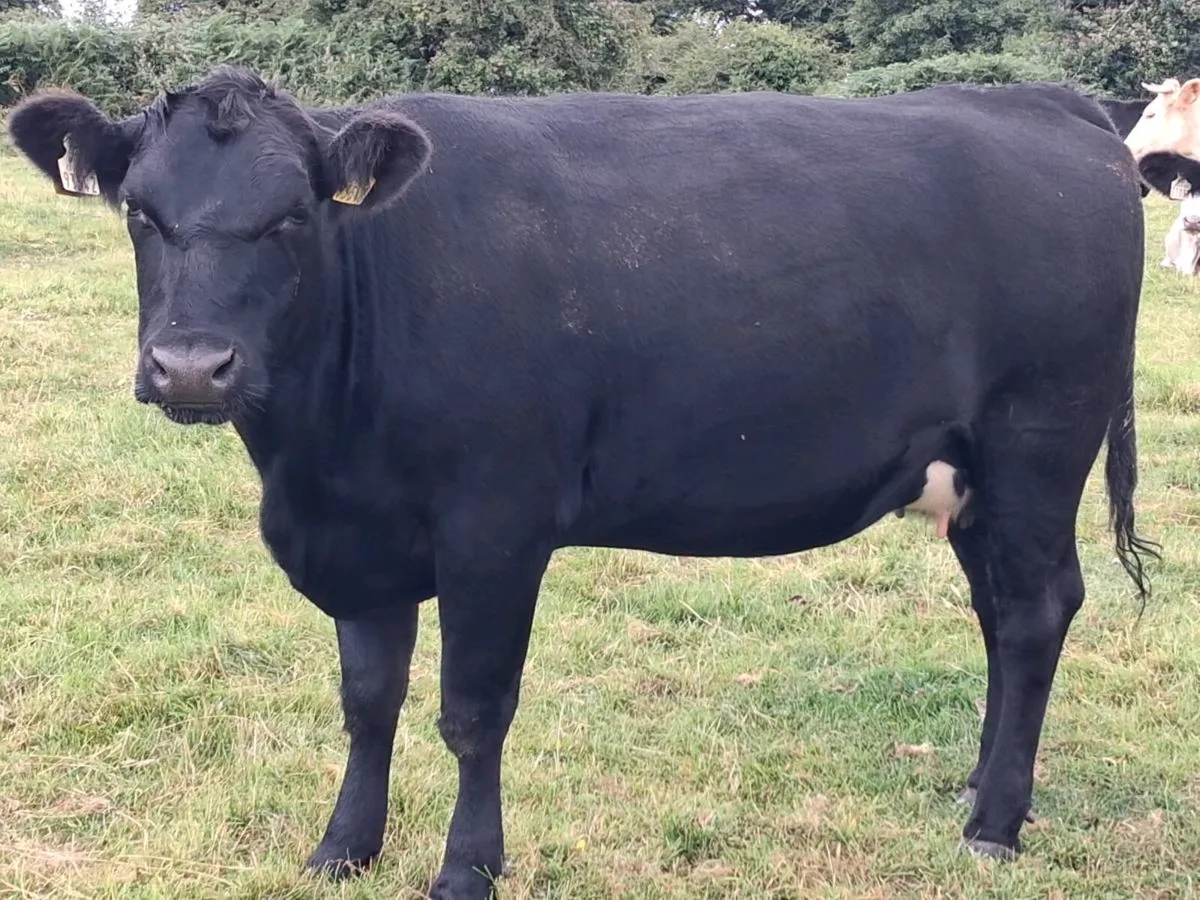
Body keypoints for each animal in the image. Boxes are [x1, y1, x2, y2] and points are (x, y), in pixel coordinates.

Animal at [6, 68, 1159, 899]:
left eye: (293, 216)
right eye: (139, 213)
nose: (191, 368)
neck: (315, 459)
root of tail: (1046, 103)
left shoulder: (493, 528)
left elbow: (473, 711)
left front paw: (465, 868)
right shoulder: (363, 539)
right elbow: (368, 702)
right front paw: (342, 850)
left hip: (1037, 444)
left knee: (1035, 612)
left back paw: (994, 825)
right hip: (978, 478)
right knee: (1002, 617)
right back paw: (981, 788)